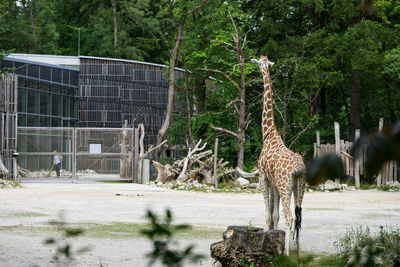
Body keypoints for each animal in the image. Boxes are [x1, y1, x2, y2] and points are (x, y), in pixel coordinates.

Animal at [252, 55, 308, 256]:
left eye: (260, 63)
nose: (259, 66)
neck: (268, 133)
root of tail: (298, 168)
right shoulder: (274, 182)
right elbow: (274, 215)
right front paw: (274, 238)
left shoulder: (263, 178)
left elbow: (268, 214)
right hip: (300, 185)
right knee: (299, 217)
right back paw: (297, 251)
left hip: (286, 186)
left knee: (290, 217)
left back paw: (287, 253)